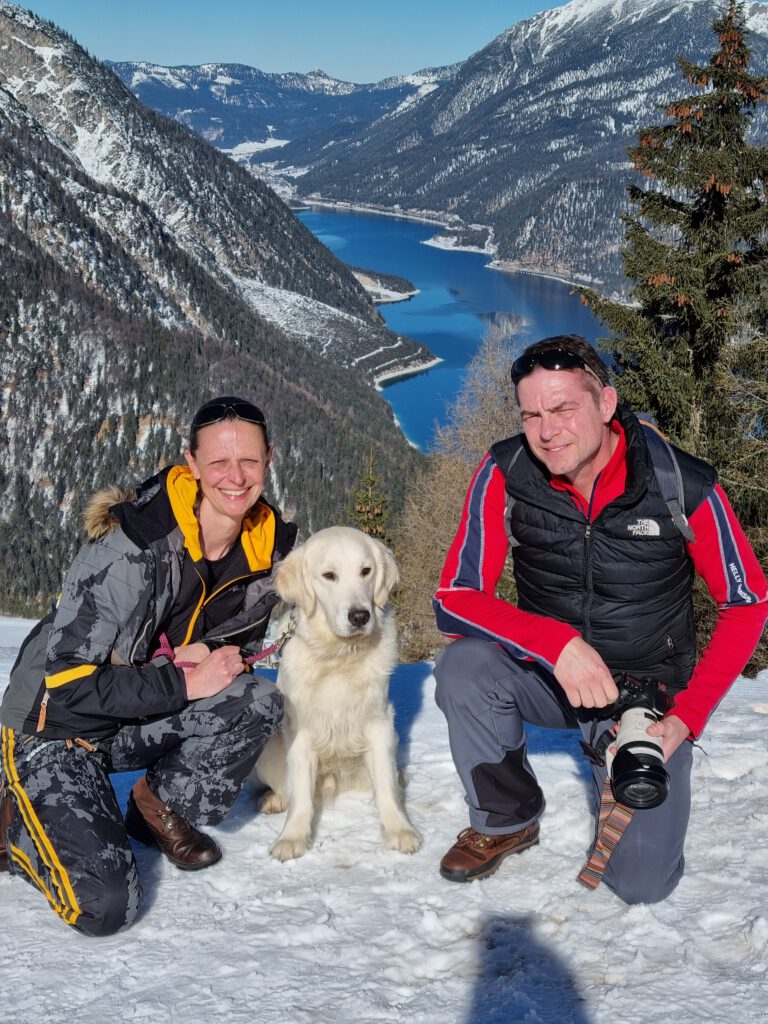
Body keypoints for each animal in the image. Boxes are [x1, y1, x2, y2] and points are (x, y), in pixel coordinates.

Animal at [256, 524, 423, 860]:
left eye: (366, 571)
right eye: (329, 575)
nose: (360, 616)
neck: (338, 656)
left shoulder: (379, 723)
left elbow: (386, 787)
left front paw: (400, 830)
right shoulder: (301, 731)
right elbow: (301, 796)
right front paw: (292, 838)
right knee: (287, 788)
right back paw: (274, 799)